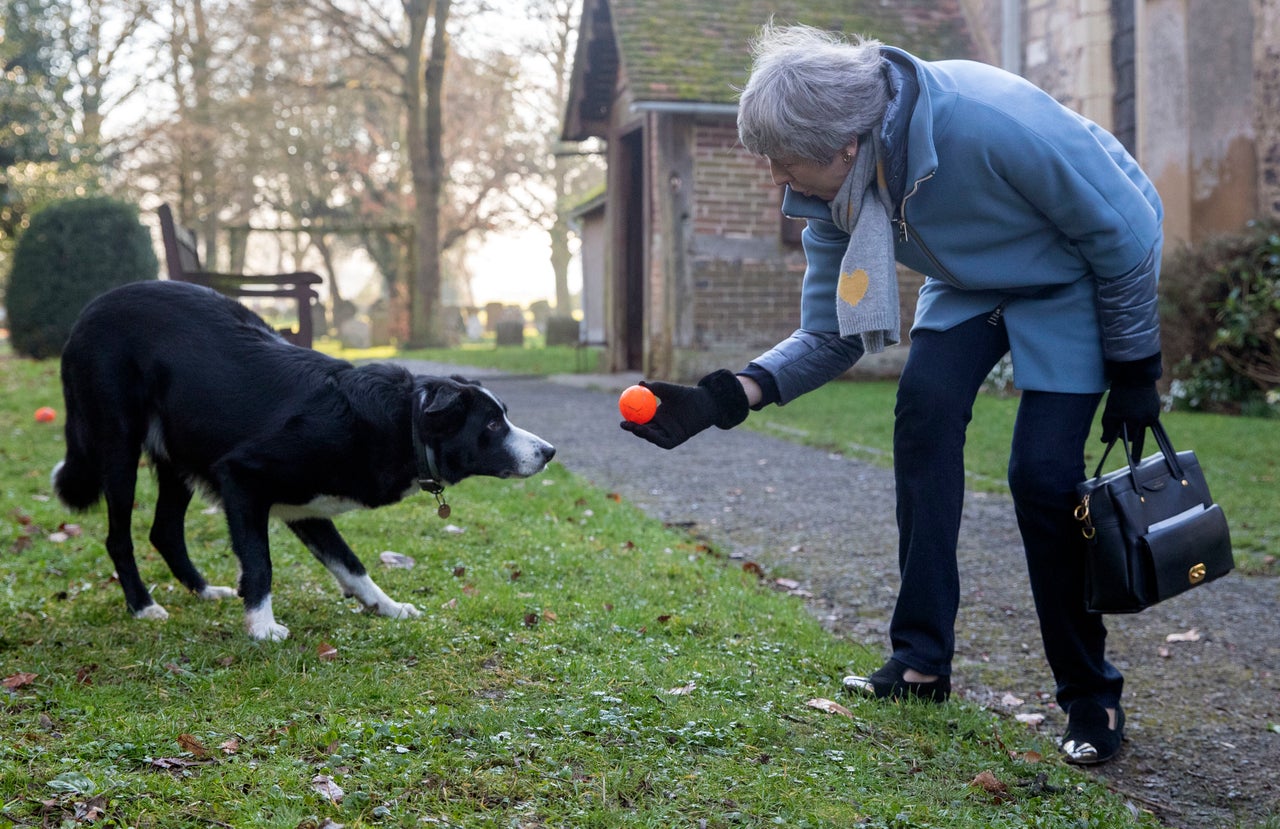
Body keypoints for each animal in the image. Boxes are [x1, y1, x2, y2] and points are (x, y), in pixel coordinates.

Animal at [55, 280, 555, 642]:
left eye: (504, 416)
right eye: (492, 424)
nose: (549, 452)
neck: (404, 421)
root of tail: (84, 316)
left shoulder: (307, 509)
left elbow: (351, 564)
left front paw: (386, 606)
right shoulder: (241, 478)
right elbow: (259, 563)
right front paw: (261, 627)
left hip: (178, 457)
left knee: (164, 531)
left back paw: (202, 590)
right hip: (118, 445)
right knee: (119, 538)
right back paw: (143, 606)